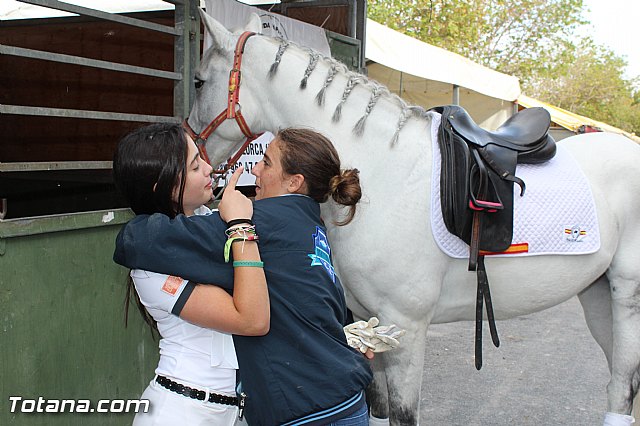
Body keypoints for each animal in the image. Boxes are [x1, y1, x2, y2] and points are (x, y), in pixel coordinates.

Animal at [187, 11, 640, 426]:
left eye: (198, 81)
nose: (194, 152)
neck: (382, 174)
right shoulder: (366, 324)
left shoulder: (405, 330)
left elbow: (404, 414)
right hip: (597, 295)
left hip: (626, 297)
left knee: (621, 384)